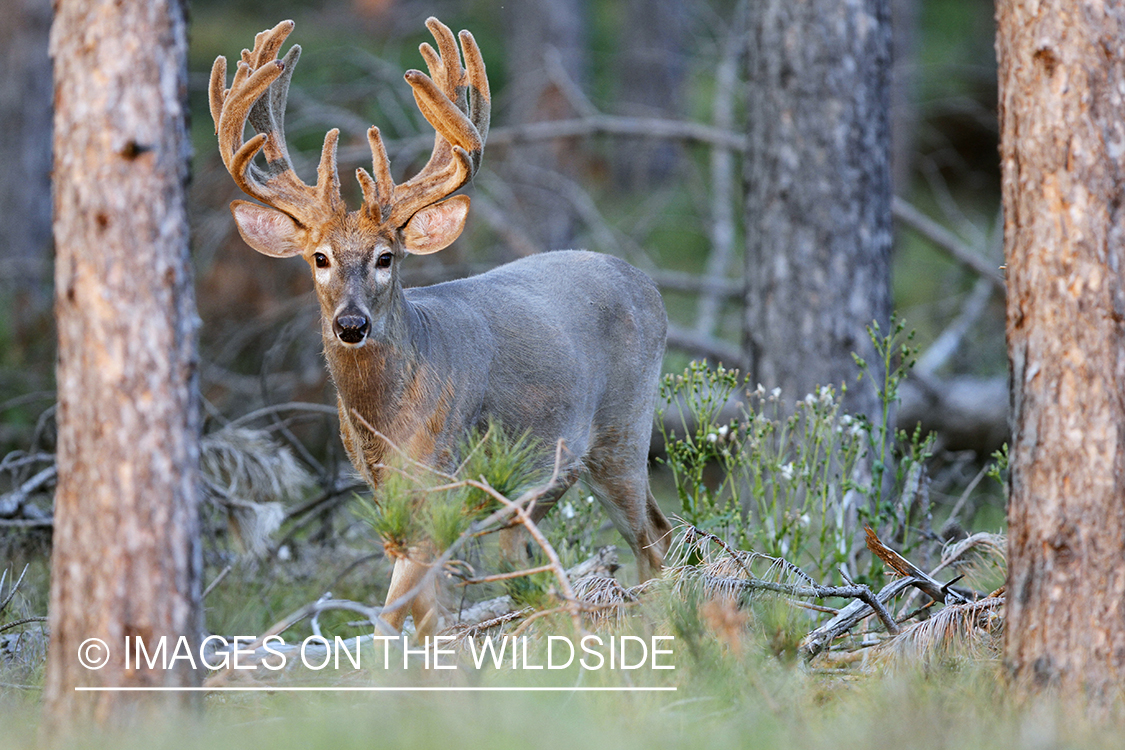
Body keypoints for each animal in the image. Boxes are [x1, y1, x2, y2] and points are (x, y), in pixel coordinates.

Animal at [210, 17, 666, 638]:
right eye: (319, 258)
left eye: (386, 257)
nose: (350, 323)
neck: (385, 422)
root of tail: (649, 285)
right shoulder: (386, 493)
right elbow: (424, 612)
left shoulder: (442, 475)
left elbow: (395, 610)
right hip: (542, 489)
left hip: (624, 432)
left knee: (653, 544)